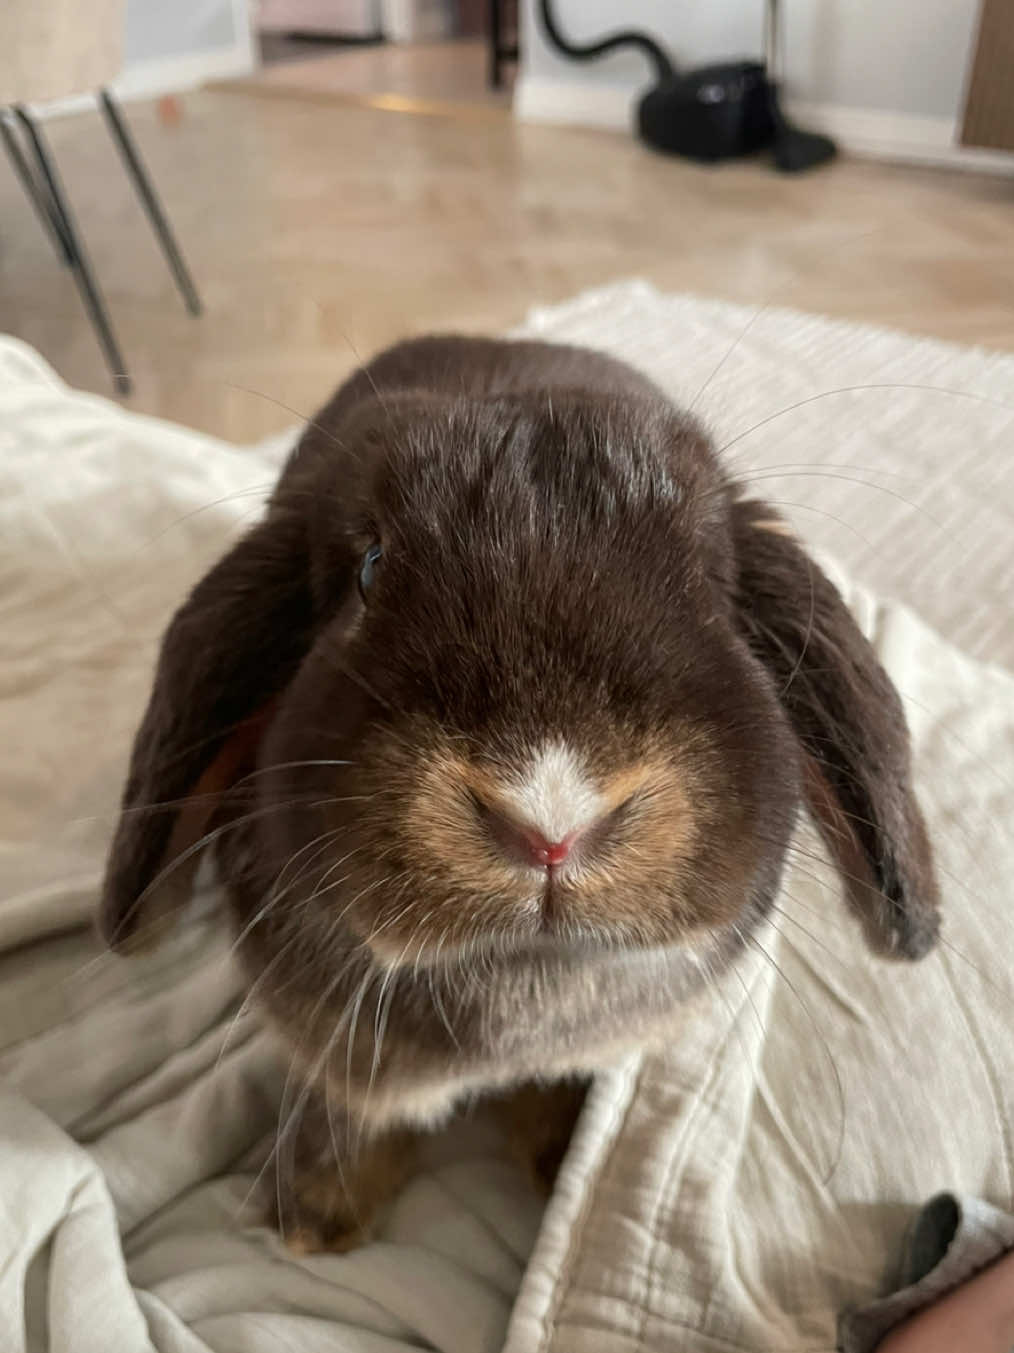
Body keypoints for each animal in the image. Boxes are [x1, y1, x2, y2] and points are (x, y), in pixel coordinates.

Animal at [100, 335, 940, 1251]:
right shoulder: (333, 1047)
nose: (551, 817)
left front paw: (560, 1162)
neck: (522, 978)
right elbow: (351, 1110)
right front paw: (316, 1215)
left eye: (711, 586)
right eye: (370, 570)